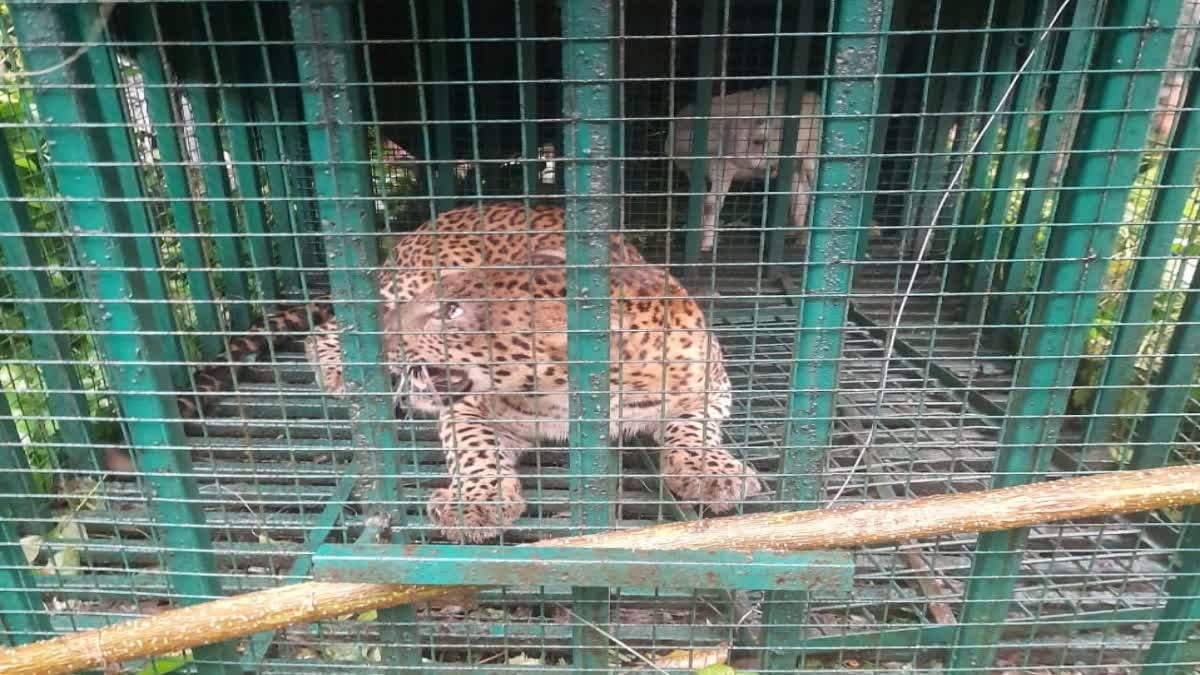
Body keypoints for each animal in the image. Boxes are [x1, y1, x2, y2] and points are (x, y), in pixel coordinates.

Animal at [387, 249, 764, 543]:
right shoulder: (469, 410)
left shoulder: (711, 384)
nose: (385, 332)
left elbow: (691, 426)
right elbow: (475, 451)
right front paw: (474, 502)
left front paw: (713, 472)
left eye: (452, 310)